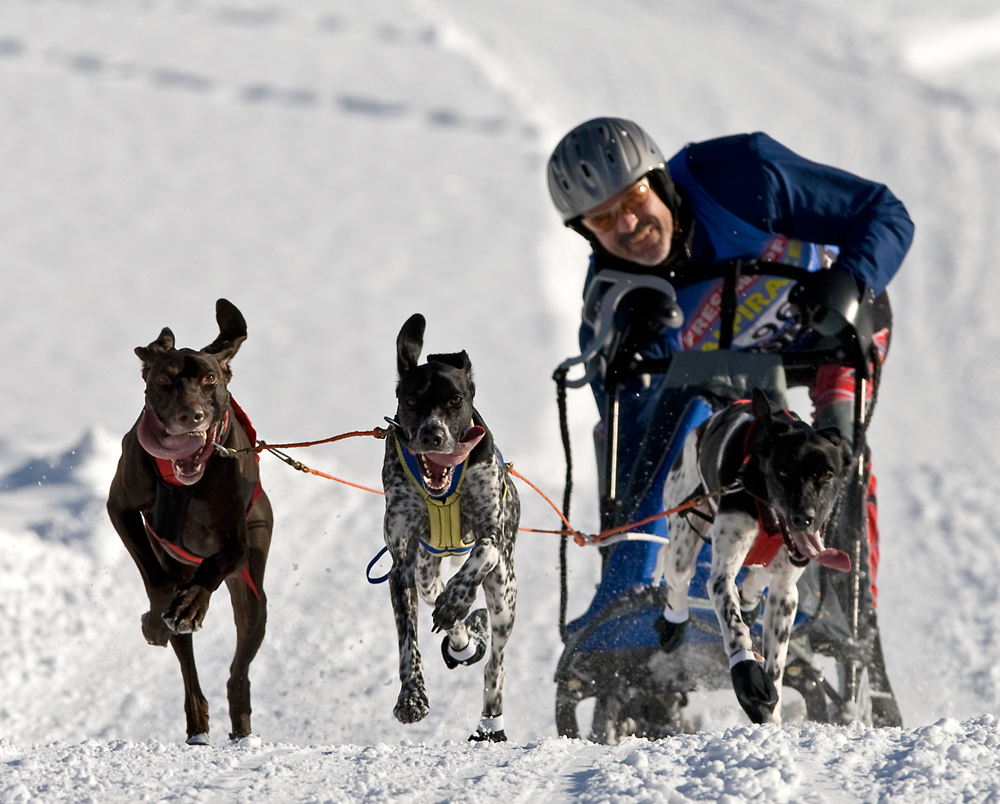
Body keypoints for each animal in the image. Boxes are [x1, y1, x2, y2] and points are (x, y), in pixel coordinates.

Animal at [106, 300, 274, 748]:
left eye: (209, 379)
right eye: (164, 380)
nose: (190, 415)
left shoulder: (235, 542)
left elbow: (215, 565)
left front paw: (191, 603)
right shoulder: (122, 510)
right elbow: (155, 579)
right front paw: (160, 615)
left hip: (253, 597)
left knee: (238, 672)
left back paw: (240, 724)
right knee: (189, 670)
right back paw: (197, 724)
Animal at [380, 312, 520, 740]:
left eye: (455, 400)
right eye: (411, 402)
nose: (432, 434)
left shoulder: (492, 529)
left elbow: (483, 551)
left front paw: (459, 596)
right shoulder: (401, 565)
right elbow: (407, 642)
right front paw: (411, 697)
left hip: (504, 594)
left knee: (496, 664)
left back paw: (491, 722)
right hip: (426, 568)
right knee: (433, 594)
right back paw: (460, 638)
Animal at [656, 386, 852, 724]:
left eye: (827, 474)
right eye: (783, 471)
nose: (804, 518)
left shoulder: (786, 591)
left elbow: (776, 662)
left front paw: (771, 714)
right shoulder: (722, 574)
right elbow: (733, 622)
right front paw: (747, 673)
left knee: (757, 578)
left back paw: (749, 598)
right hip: (684, 527)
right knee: (678, 575)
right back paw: (674, 621)